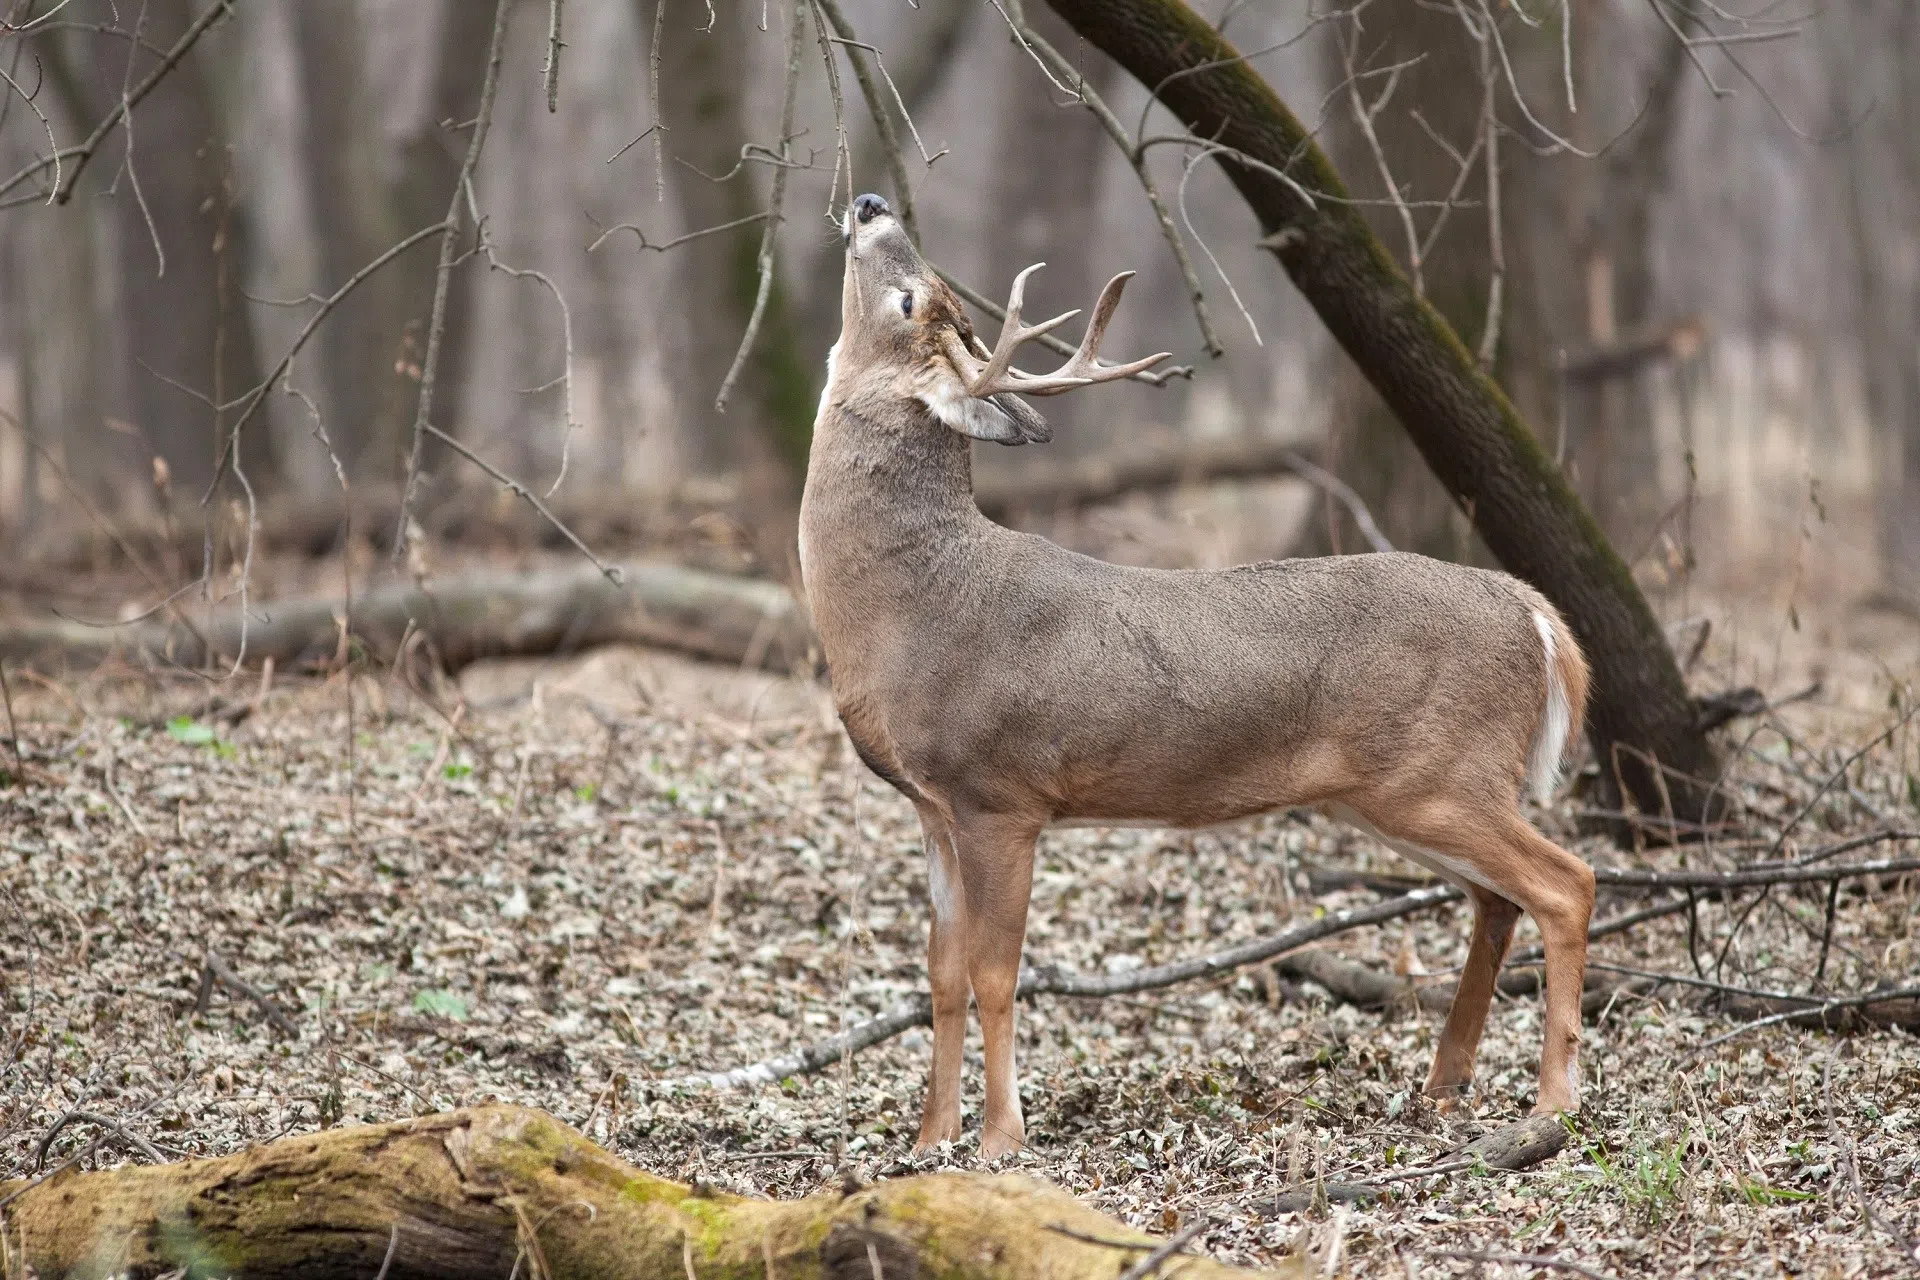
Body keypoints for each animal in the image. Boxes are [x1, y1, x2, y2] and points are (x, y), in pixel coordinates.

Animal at [799, 192, 1595, 1159]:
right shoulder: (933, 806)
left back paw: (1552, 1101)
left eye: (909, 298)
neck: (910, 608)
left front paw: (999, 1142)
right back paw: (1445, 1082)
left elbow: (995, 971)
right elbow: (941, 974)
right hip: (1399, 792)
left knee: (1566, 884)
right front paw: (927, 1142)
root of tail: (1536, 614)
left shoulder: (1002, 794)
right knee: (1497, 899)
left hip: (1441, 773)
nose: (871, 202)